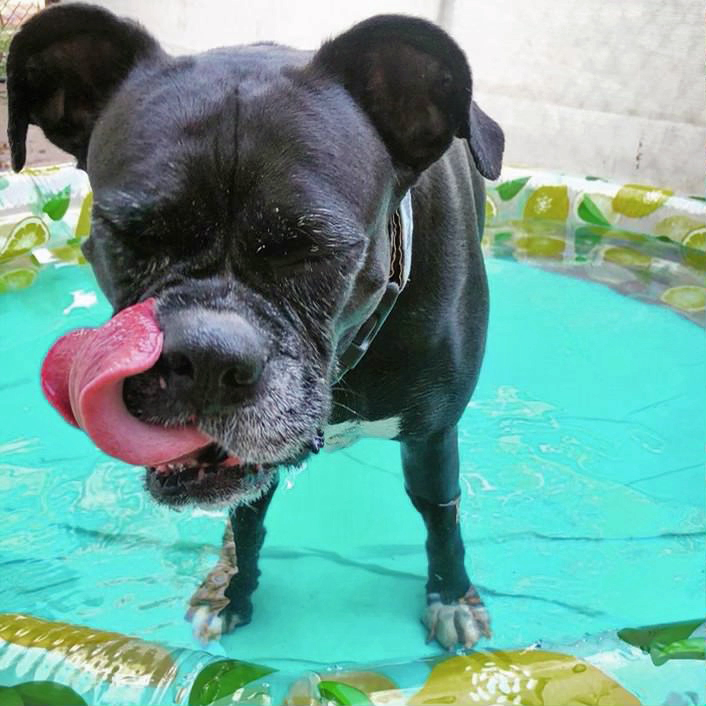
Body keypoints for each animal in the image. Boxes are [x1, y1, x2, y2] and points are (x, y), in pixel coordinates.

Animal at [5, 2, 500, 648]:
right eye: (130, 233)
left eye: (311, 251)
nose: (205, 358)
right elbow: (246, 521)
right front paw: (232, 590)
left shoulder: (433, 435)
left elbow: (439, 515)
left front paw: (452, 596)